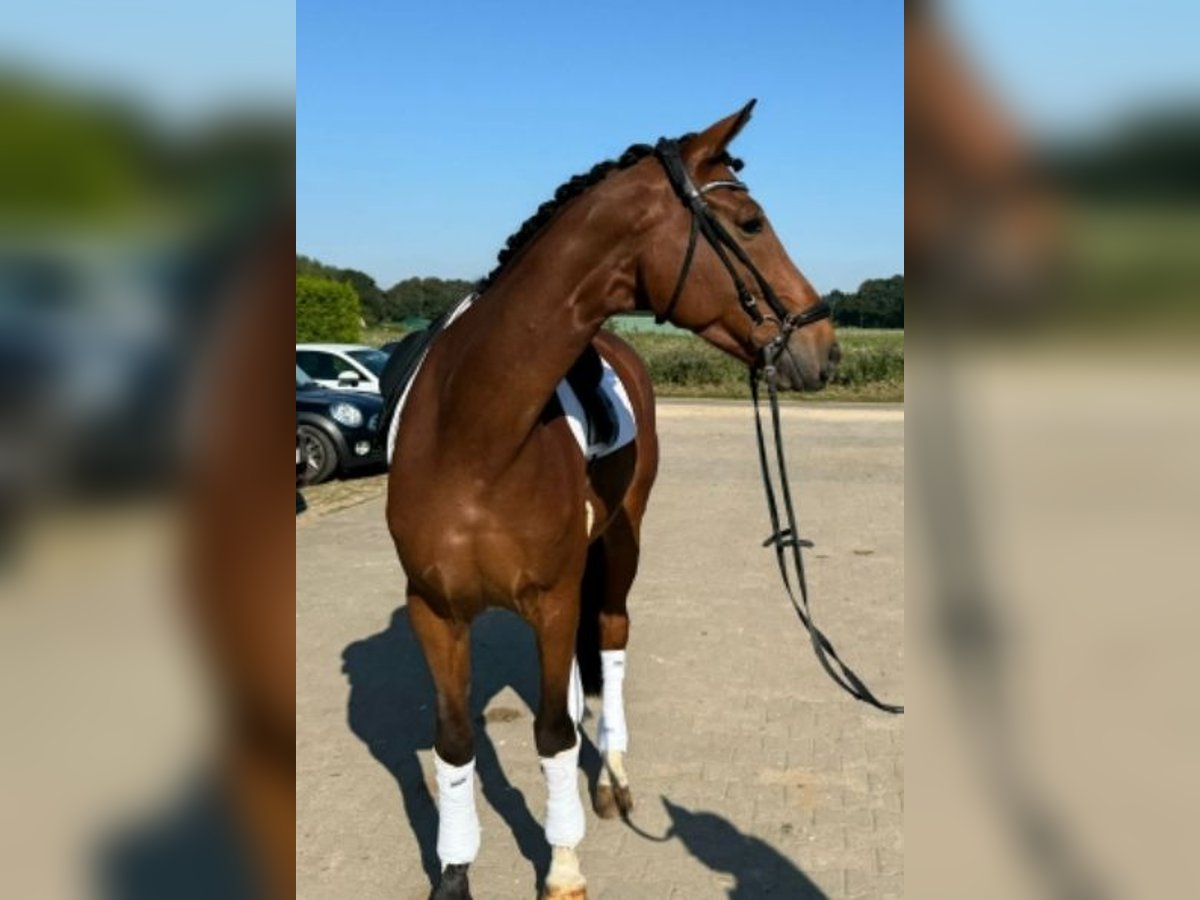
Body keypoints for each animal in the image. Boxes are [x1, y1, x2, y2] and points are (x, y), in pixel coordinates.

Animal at [388, 102, 840, 897]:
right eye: (751, 222)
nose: (826, 346)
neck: (471, 434)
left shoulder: (552, 597)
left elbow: (552, 734)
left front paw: (563, 864)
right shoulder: (434, 611)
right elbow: (455, 742)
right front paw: (453, 871)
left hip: (620, 545)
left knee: (611, 637)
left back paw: (611, 780)